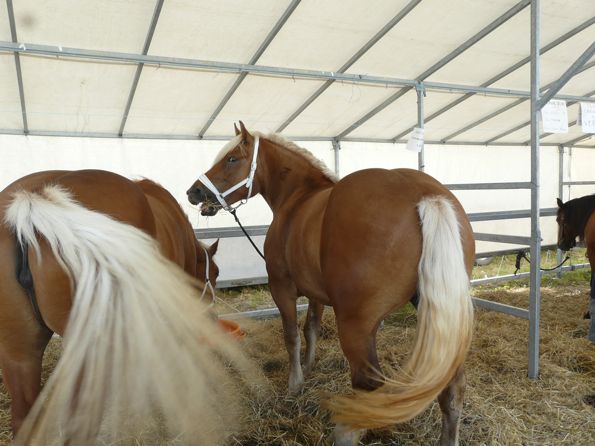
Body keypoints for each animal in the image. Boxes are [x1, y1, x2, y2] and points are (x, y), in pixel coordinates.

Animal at [187, 122, 475, 446]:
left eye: (232, 159)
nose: (193, 191)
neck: (298, 198)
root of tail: (424, 195)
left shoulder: (281, 287)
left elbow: (291, 335)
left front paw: (295, 382)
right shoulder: (316, 293)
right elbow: (310, 328)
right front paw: (309, 367)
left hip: (356, 326)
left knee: (368, 385)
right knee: (452, 388)